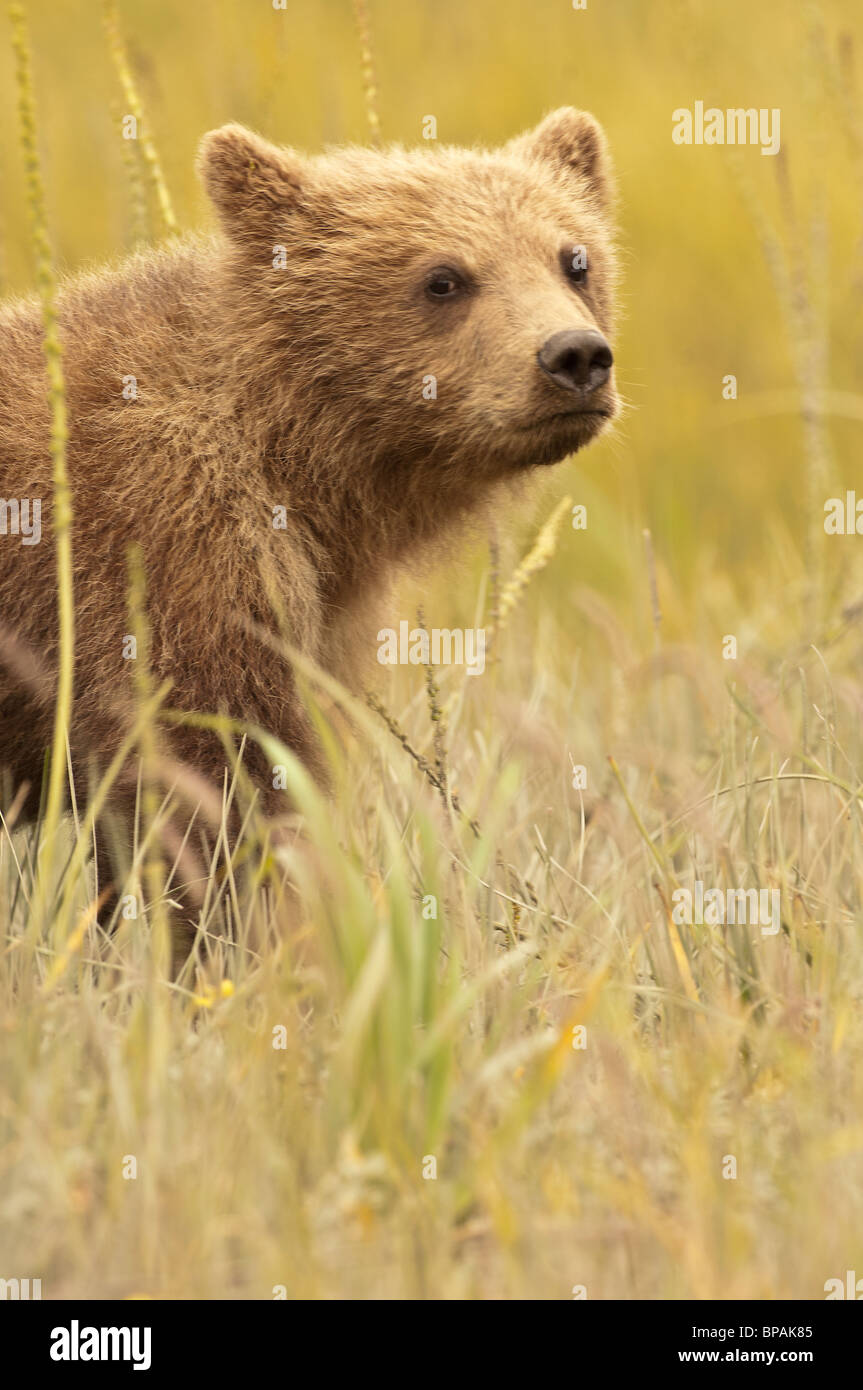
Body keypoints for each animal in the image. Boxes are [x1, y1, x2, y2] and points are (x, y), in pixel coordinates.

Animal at [0, 107, 618, 956]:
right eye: (443, 277)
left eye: (574, 258)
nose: (573, 355)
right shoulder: (164, 554)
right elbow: (208, 790)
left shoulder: (318, 618)